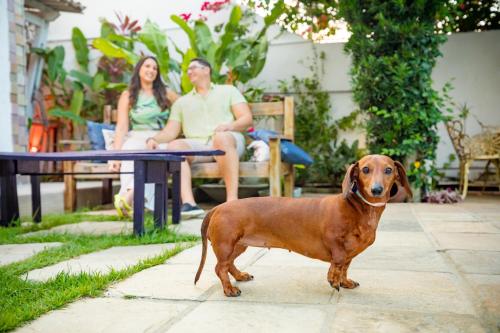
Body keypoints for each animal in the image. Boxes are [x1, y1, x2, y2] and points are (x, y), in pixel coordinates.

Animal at [194, 154, 410, 294]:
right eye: (365, 169)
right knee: (220, 268)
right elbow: (338, 261)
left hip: (238, 245)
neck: (359, 209)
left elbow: (345, 267)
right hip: (226, 244)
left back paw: (239, 277)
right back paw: (229, 289)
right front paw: (333, 279)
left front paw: (344, 282)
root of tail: (218, 207)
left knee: (228, 264)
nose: (377, 190)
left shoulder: (351, 253)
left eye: (388, 170)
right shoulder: (334, 241)